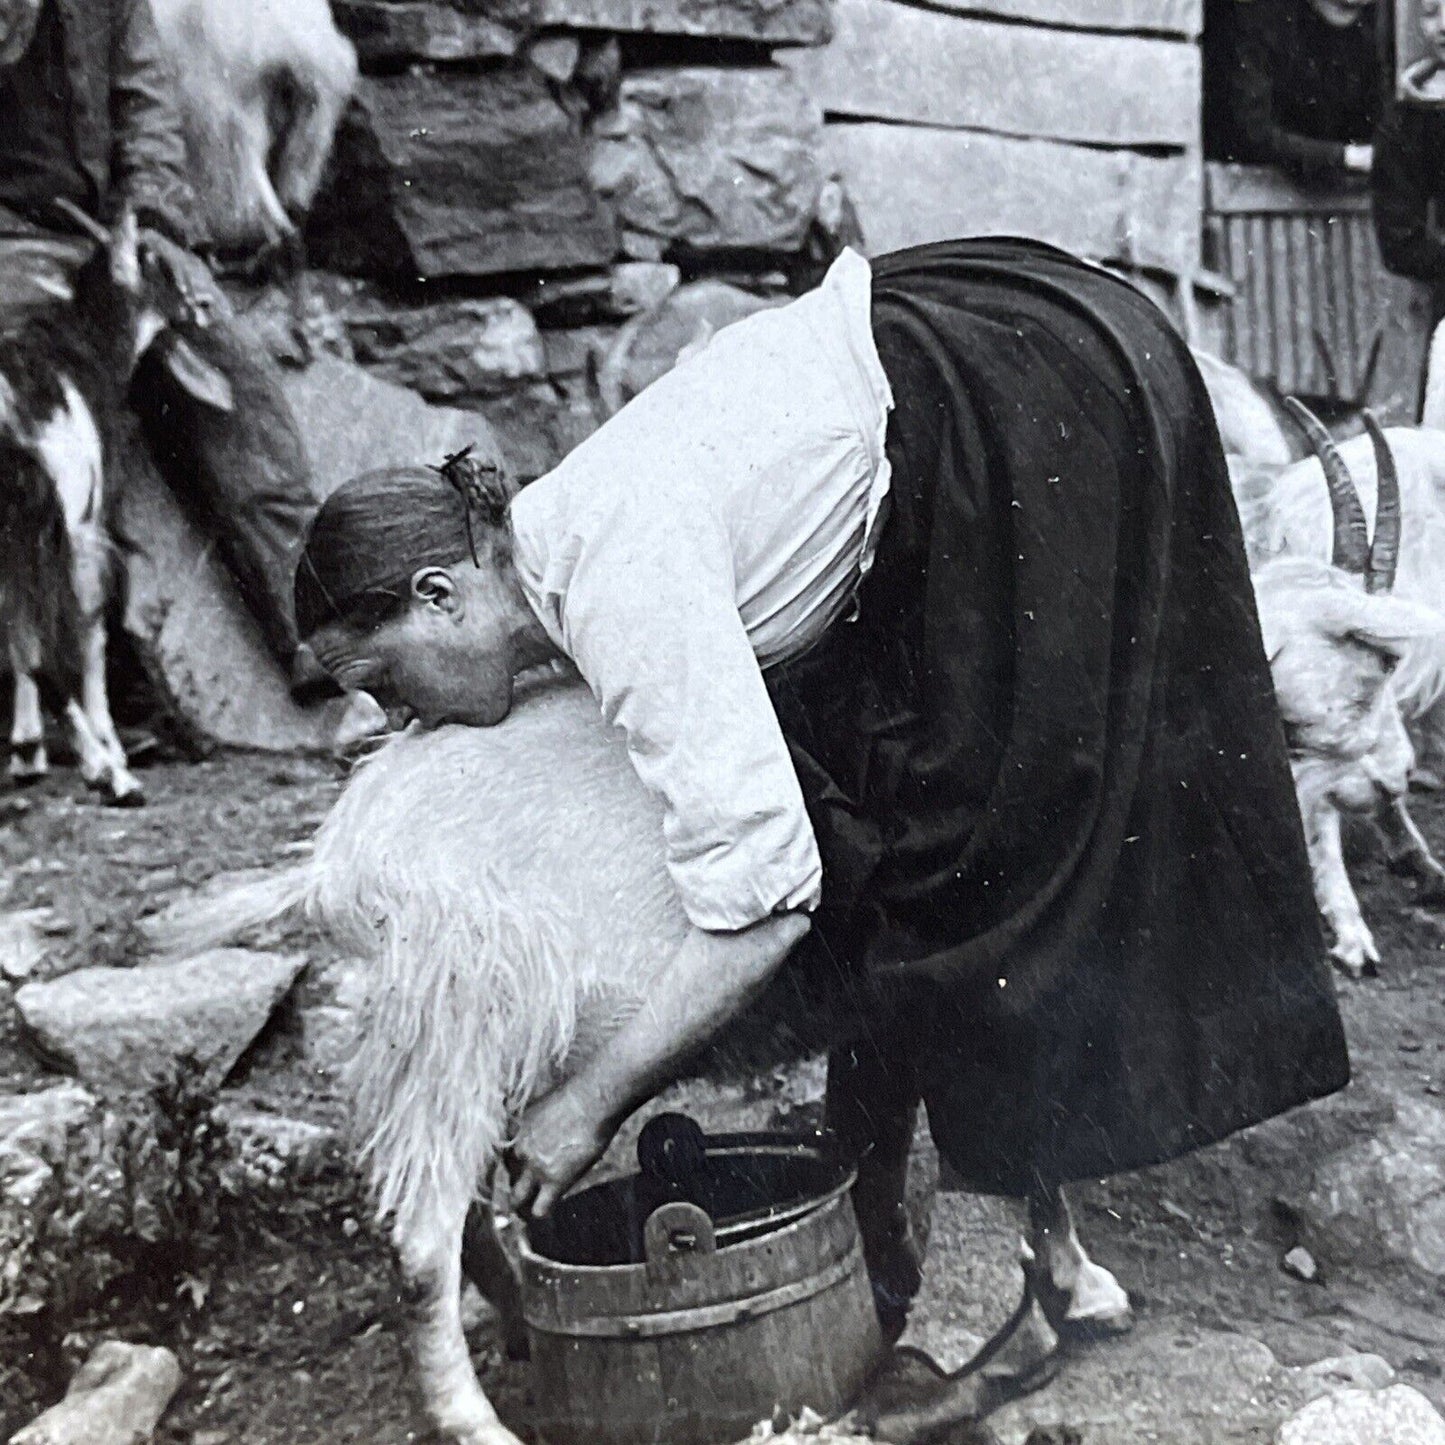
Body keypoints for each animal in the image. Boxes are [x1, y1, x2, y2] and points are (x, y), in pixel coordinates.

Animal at [0, 206, 228, 803]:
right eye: (157, 265)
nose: (204, 306)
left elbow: (21, 634)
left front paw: (28, 753)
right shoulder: (88, 522)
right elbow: (90, 631)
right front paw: (108, 749)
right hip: (49, 516)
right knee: (56, 635)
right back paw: (113, 776)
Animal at [149, 670, 1127, 1445]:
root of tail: (334, 870)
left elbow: (892, 1137)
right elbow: (1022, 1137)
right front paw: (1067, 1289)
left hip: (411, 1045)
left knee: (457, 1216)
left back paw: (517, 1318)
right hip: (455, 1022)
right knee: (419, 1243)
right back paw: (474, 1421)